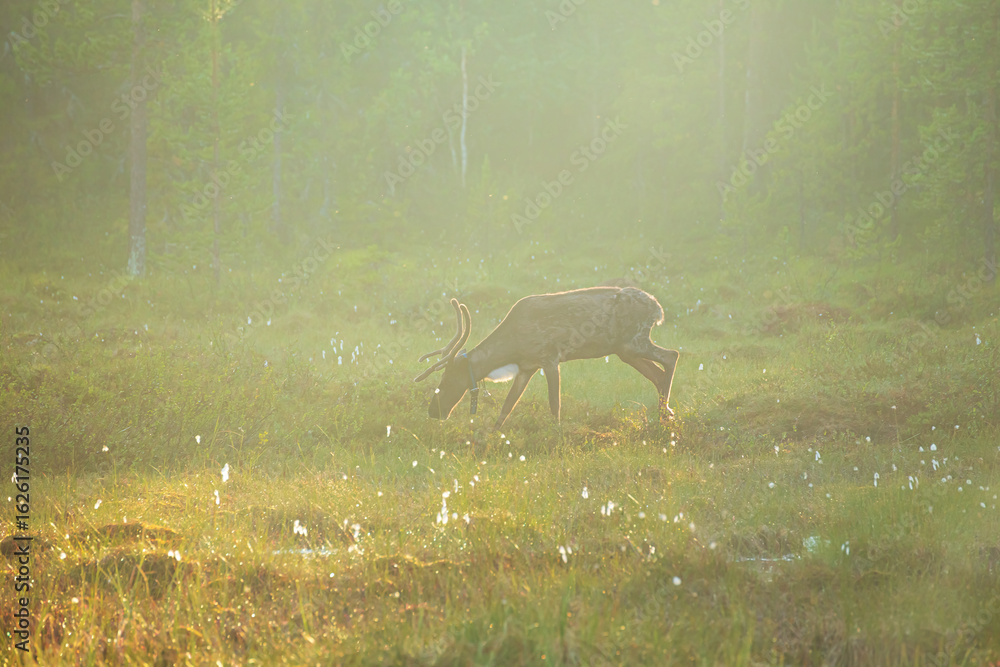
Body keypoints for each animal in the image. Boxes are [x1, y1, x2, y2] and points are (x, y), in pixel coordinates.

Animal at [414, 286, 679, 429]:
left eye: (445, 382)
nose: (432, 411)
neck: (513, 346)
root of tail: (658, 310)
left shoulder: (549, 357)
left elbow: (554, 405)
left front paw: (556, 435)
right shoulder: (526, 367)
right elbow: (507, 407)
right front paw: (490, 437)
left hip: (634, 341)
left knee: (671, 356)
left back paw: (665, 416)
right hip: (624, 350)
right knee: (658, 373)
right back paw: (664, 414)